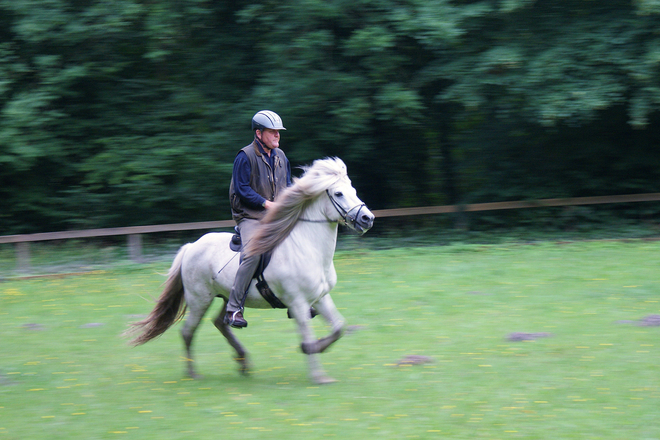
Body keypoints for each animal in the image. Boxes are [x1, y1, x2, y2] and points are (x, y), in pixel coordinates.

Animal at [126, 156, 374, 384]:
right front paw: (319, 375)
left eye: (353, 190)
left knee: (221, 322)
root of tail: (191, 247)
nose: (367, 218)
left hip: (228, 297)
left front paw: (314, 348)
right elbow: (309, 334)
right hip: (199, 300)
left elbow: (339, 327)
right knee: (188, 331)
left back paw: (243, 361)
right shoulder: (298, 303)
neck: (307, 248)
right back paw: (193, 373)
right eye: (339, 193)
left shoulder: (320, 298)